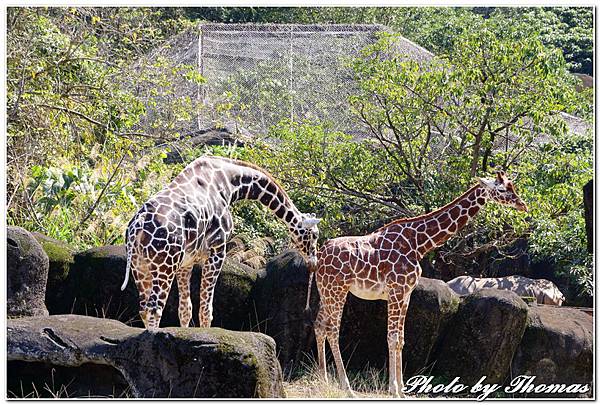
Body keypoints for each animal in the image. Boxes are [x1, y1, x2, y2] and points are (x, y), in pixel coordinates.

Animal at [119, 155, 322, 328]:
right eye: (314, 235)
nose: (314, 263)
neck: (231, 183)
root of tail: (137, 226)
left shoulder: (187, 261)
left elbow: (185, 310)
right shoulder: (218, 247)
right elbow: (206, 310)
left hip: (141, 266)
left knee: (144, 309)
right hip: (164, 266)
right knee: (154, 309)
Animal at [312, 170, 528, 394]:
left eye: (512, 186)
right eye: (501, 189)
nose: (523, 205)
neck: (419, 243)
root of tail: (321, 252)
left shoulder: (406, 294)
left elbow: (401, 340)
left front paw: (401, 390)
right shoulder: (396, 291)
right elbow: (392, 338)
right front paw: (393, 389)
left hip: (325, 291)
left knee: (319, 325)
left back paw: (323, 378)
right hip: (337, 290)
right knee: (332, 330)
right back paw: (346, 386)